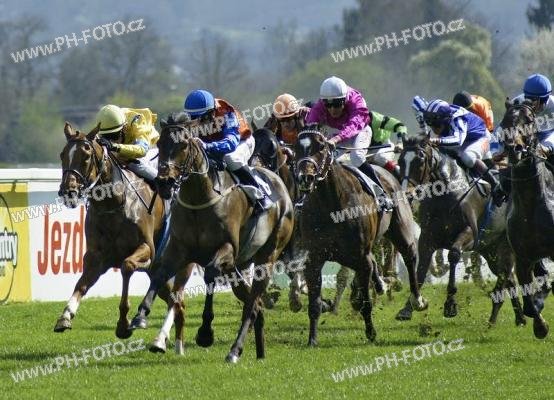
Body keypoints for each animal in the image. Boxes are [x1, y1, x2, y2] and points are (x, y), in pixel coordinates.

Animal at [54, 122, 173, 339]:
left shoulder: (146, 248)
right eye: (62, 154)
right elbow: (81, 284)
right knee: (173, 299)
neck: (112, 204)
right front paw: (65, 316)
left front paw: (124, 323)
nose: (68, 191)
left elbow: (127, 266)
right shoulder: (96, 256)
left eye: (86, 156)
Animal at [129, 113, 294, 362]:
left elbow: (209, 275)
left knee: (251, 304)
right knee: (255, 305)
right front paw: (140, 316)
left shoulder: (226, 249)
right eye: (160, 143)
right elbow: (159, 275)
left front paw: (205, 332)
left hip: (267, 256)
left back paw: (234, 350)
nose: (165, 182)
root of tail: (281, 186)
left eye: (183, 145)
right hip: (239, 265)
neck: (199, 199)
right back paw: (259, 351)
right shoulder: (179, 249)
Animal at [293, 127, 428, 345]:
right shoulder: (314, 258)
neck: (331, 204)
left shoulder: (360, 257)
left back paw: (416, 300)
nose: (305, 177)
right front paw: (312, 339)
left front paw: (371, 333)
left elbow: (366, 301)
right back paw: (381, 285)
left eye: (320, 147)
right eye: (297, 148)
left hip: (401, 231)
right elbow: (314, 304)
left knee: (410, 257)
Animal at [395, 135, 526, 327]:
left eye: (420, 160)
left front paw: (450, 304)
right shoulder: (427, 238)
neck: (446, 193)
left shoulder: (469, 234)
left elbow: (454, 255)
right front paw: (408, 308)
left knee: (507, 274)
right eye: (400, 161)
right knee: (508, 277)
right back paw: (518, 317)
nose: (407, 195)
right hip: (491, 250)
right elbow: (421, 270)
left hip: (506, 246)